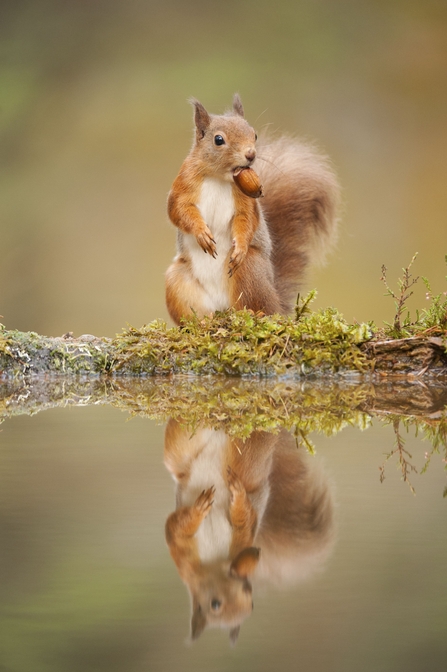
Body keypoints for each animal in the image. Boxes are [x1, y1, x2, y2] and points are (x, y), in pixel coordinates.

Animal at [163, 420, 334, 644]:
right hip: (180, 452)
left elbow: (245, 519)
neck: (215, 565)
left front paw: (238, 498)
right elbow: (177, 526)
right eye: (215, 605)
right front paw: (198, 510)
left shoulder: (243, 536)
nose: (243, 582)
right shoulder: (184, 557)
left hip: (247, 466)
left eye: (250, 600)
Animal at [165, 95, 340, 326]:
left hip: (251, 269)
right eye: (218, 140)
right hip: (177, 281)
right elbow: (178, 210)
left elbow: (247, 219)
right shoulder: (182, 185)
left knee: (259, 308)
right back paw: (201, 321)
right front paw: (202, 233)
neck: (219, 177)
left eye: (254, 134)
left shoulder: (247, 201)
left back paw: (253, 314)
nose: (250, 154)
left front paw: (239, 246)